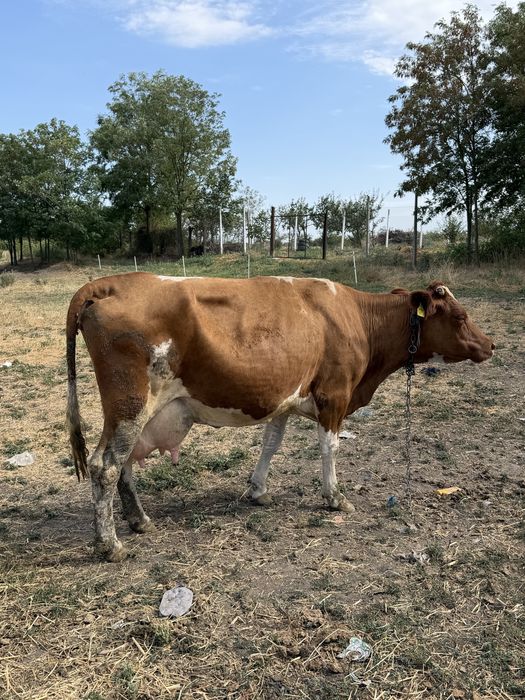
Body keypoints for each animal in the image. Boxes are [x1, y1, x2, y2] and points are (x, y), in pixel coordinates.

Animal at [66, 274, 494, 561]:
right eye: (460, 317)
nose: (490, 345)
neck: (357, 317)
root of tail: (110, 283)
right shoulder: (334, 395)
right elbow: (330, 447)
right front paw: (335, 497)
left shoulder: (283, 399)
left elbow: (271, 444)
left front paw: (258, 490)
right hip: (131, 403)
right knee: (105, 465)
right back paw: (110, 544)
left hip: (128, 412)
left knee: (122, 463)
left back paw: (138, 520)